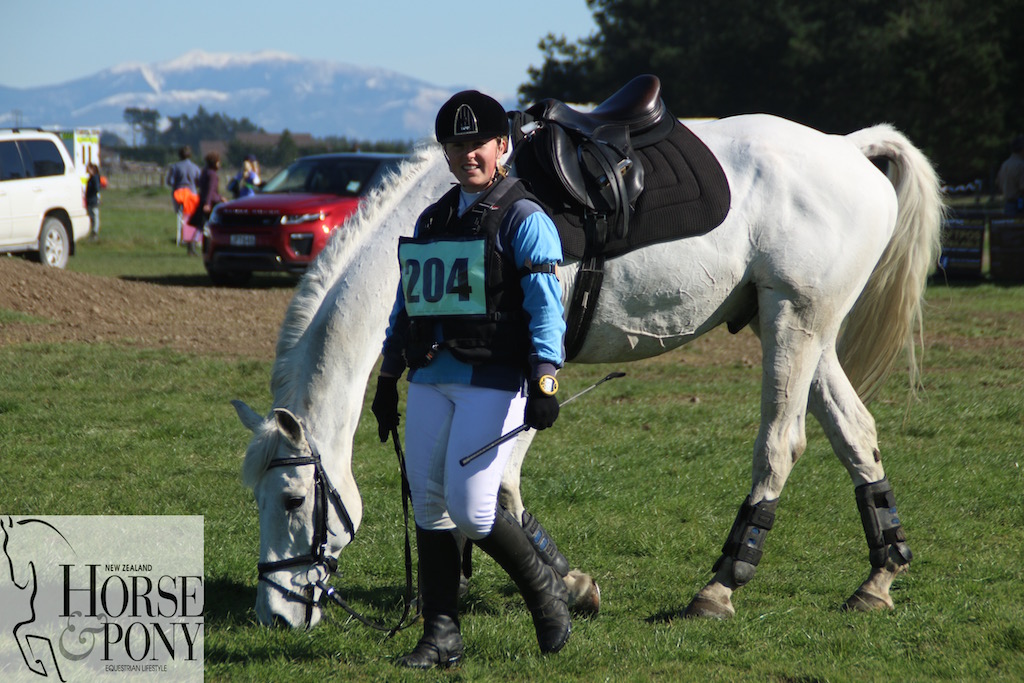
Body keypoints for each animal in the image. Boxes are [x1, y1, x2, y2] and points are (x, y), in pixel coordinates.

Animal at [235, 113, 937, 630]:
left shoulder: (523, 384)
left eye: (293, 498)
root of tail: (845, 148)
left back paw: (720, 587)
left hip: (796, 323)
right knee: (856, 431)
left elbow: (501, 487)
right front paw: (551, 580)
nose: (274, 616)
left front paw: (566, 586)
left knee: (780, 445)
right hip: (792, 327)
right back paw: (879, 576)